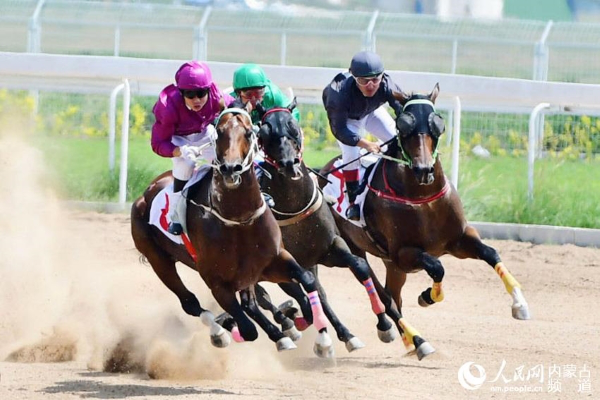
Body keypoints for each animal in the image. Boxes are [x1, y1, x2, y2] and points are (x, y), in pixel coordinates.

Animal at [131, 105, 332, 354]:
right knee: (190, 303)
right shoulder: (217, 281)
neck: (240, 220)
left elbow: (306, 279)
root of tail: (145, 193)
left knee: (250, 303)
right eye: (219, 133)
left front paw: (316, 333)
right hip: (159, 260)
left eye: (249, 132)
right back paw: (220, 332)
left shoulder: (272, 261)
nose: (230, 168)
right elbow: (248, 329)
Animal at [255, 103, 396, 354]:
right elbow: (303, 292)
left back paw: (343, 334)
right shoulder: (285, 262)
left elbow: (358, 267)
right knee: (266, 297)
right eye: (264, 132)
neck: (295, 209)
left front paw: (384, 325)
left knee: (315, 294)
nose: (289, 163)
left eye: (294, 125)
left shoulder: (328, 249)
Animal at [322, 83, 532, 360]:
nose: (424, 170)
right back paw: (408, 338)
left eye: (437, 124)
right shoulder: (403, 253)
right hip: (357, 249)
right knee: (383, 294)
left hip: (392, 265)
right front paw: (427, 296)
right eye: (403, 126)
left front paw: (520, 303)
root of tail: (321, 173)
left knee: (393, 295)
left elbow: (491, 253)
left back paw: (409, 342)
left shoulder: (458, 240)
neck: (422, 198)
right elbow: (437, 267)